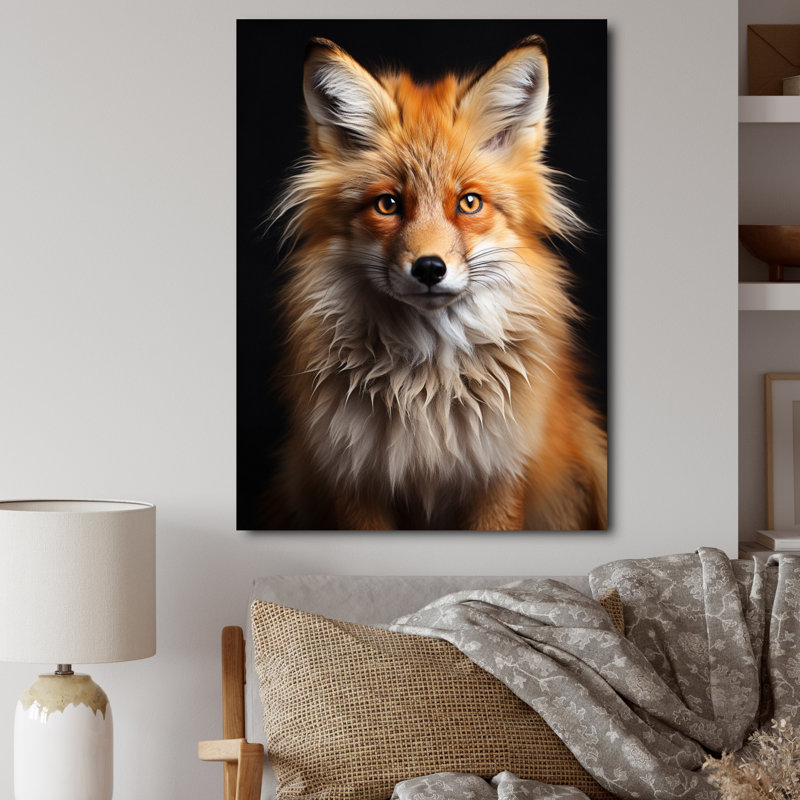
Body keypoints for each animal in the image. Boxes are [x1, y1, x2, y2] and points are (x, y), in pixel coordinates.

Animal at [270, 35, 607, 530]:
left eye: (469, 202)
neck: (426, 389)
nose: (429, 269)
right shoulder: (353, 478)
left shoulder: (500, 475)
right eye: (388, 204)